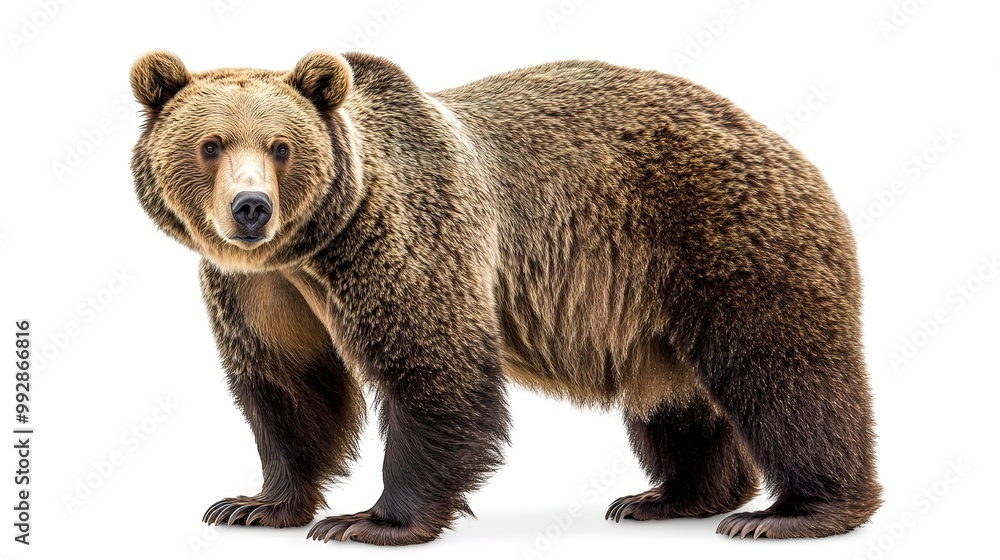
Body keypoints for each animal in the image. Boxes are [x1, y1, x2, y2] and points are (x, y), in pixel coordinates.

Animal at [129, 49, 882, 545]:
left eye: (281, 146)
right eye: (211, 144)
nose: (251, 208)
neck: (311, 248)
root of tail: (783, 143)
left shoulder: (406, 239)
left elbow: (433, 367)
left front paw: (370, 519)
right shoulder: (261, 288)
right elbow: (287, 385)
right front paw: (254, 504)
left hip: (725, 238)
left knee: (785, 374)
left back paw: (791, 512)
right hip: (655, 302)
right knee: (673, 398)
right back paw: (668, 497)